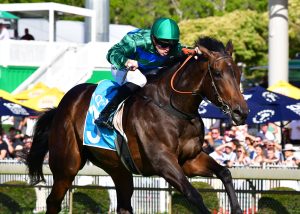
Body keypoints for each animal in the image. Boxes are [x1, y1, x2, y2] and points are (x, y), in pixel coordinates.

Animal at [27, 36, 248, 212]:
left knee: (124, 206)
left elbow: (225, 173)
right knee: (53, 202)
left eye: (238, 74)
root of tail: (62, 105)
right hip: (67, 166)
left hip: (118, 168)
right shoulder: (163, 162)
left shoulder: (190, 159)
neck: (174, 108)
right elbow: (194, 194)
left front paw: (237, 208)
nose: (241, 112)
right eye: (217, 73)